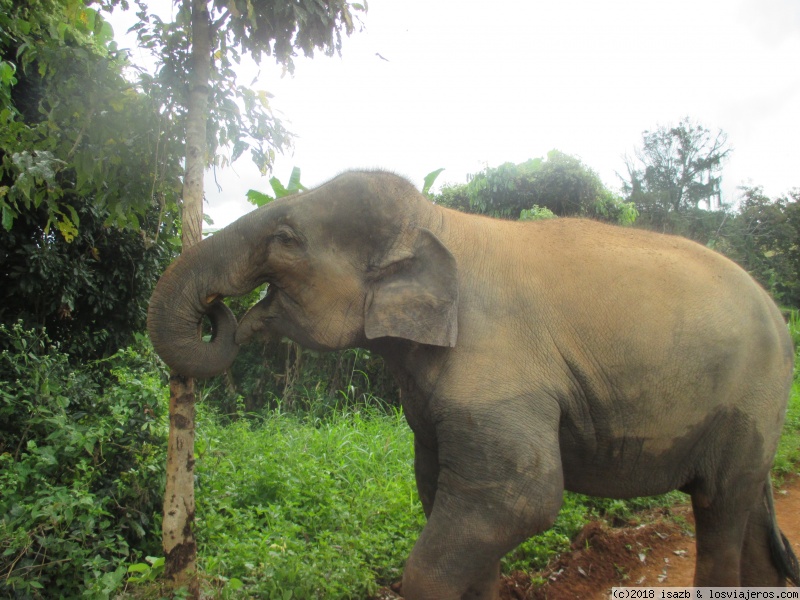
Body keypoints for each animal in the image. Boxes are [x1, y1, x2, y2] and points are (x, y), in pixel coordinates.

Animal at [147, 170, 796, 600]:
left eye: (285, 238)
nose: (221, 313)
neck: (437, 220)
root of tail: (774, 306)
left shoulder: (499, 370)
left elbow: (518, 499)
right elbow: (445, 491)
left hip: (752, 398)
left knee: (719, 507)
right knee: (744, 514)